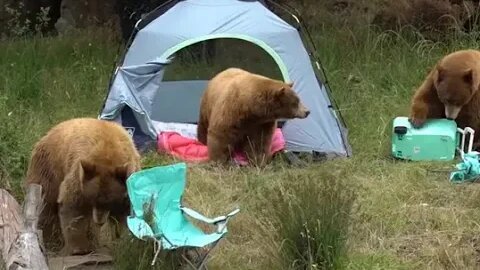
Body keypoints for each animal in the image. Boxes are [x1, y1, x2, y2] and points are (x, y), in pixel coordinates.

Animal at [23, 117, 142, 254]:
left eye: (109, 201)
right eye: (93, 198)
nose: (99, 221)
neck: (108, 157)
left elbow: (124, 212)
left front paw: (121, 239)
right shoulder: (79, 175)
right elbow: (73, 206)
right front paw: (79, 248)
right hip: (49, 167)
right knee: (45, 204)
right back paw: (49, 237)